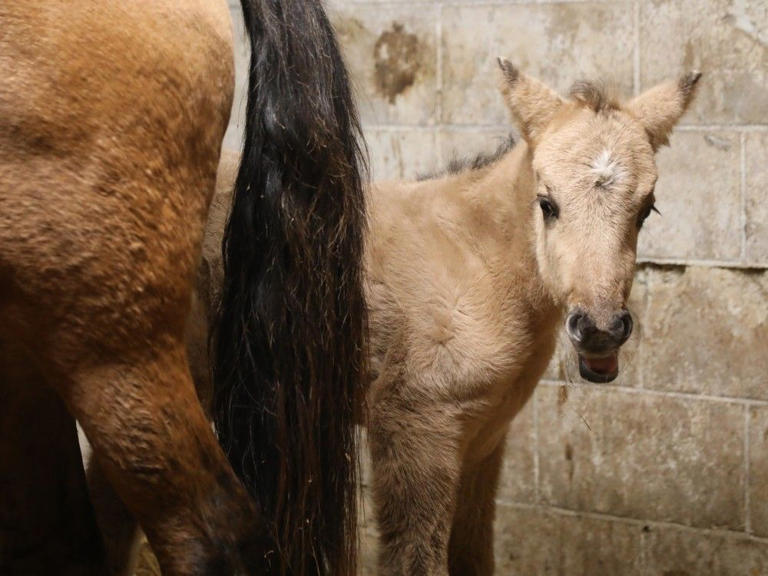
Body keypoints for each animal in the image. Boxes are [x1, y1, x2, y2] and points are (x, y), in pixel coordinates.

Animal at [366, 63, 704, 576]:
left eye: (647, 208)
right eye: (547, 203)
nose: (601, 330)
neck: (472, 262)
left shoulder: (482, 436)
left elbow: (473, 552)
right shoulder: (413, 428)